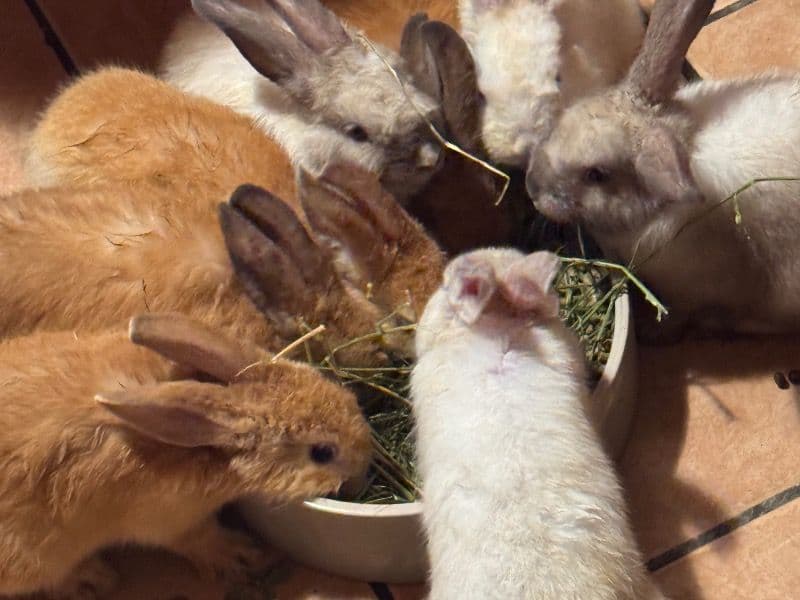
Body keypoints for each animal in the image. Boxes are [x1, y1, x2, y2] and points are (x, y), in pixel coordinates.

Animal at [0, 312, 372, 598]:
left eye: (347, 397)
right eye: (322, 452)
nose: (365, 461)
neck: (204, 445)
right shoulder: (169, 521)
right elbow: (199, 539)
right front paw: (241, 554)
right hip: (37, 559)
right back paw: (93, 580)